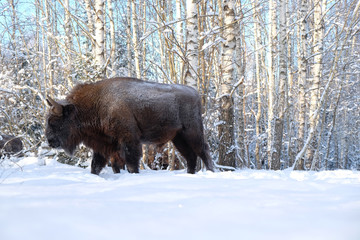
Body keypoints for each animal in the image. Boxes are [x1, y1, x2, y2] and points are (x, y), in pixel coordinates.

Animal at [45, 78, 214, 174]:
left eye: (55, 122)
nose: (50, 141)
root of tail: (195, 93)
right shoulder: (106, 145)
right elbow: (99, 166)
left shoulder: (129, 140)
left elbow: (131, 163)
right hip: (178, 137)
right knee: (191, 155)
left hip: (192, 132)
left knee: (203, 151)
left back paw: (211, 172)